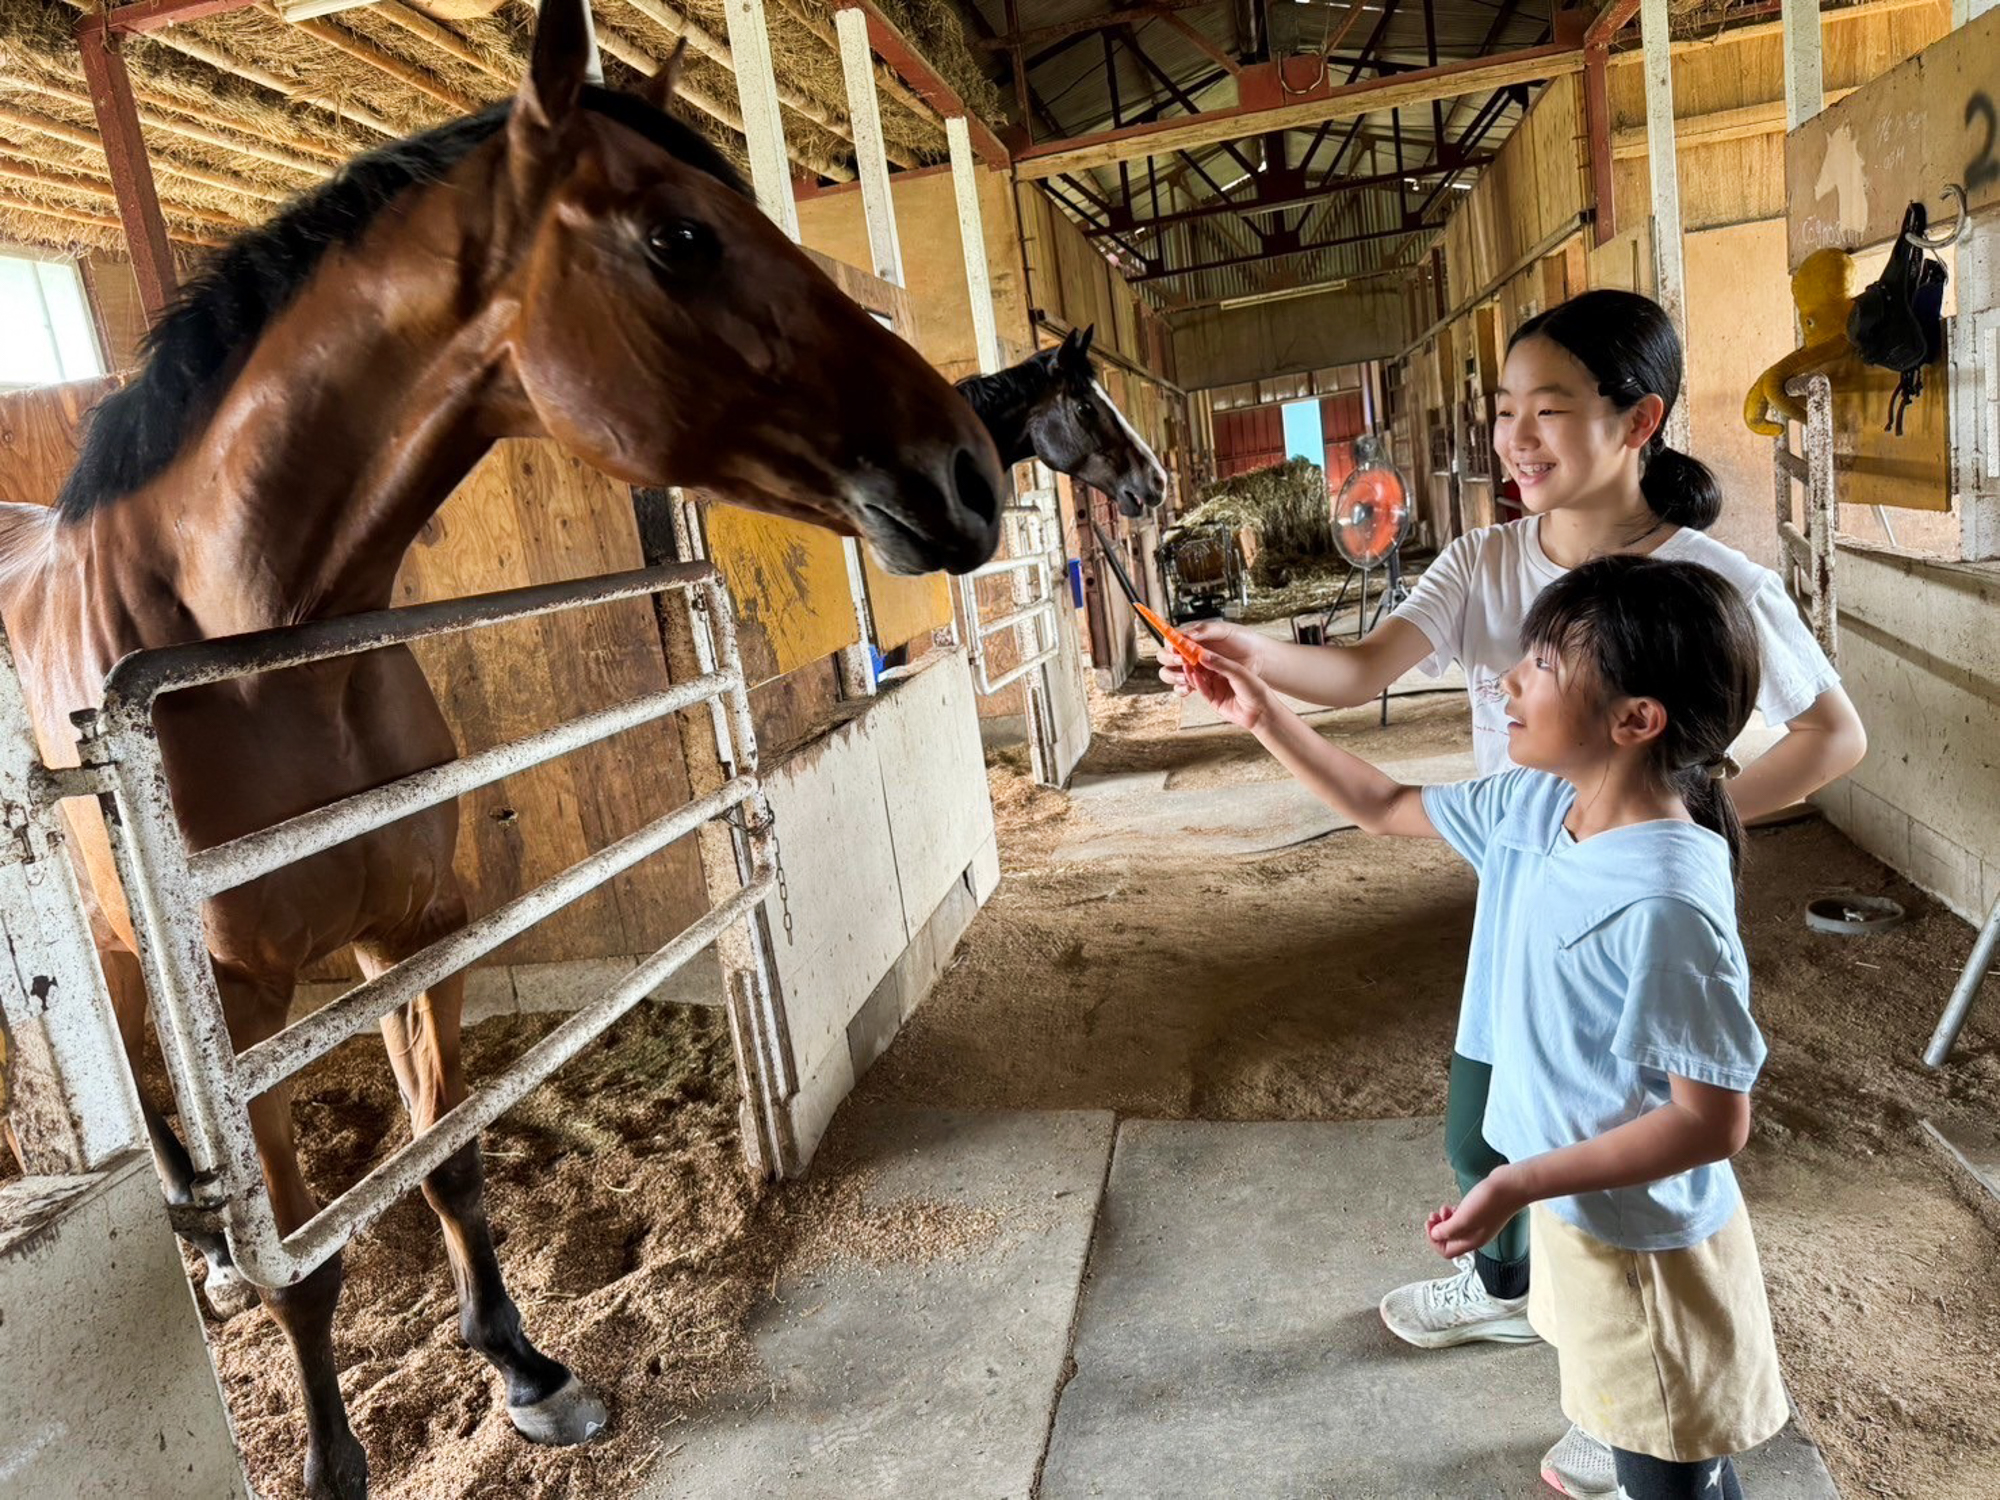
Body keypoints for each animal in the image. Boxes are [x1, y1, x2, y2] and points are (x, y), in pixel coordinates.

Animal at [0, 5, 1000, 1496]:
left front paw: (527, 1369)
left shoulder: (418, 932)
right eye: (682, 238)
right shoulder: (243, 1011)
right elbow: (307, 1257)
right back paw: (205, 1252)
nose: (971, 472)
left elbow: (448, 1156)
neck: (239, 646)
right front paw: (332, 1462)